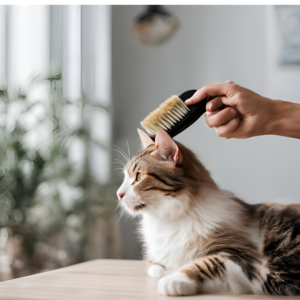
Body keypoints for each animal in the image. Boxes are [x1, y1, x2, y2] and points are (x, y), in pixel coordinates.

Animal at [116, 129, 300, 296]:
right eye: (125, 176)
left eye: (139, 177)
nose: (119, 194)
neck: (170, 217)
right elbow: (155, 266)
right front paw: (166, 271)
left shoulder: (239, 252)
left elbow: (207, 263)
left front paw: (176, 279)